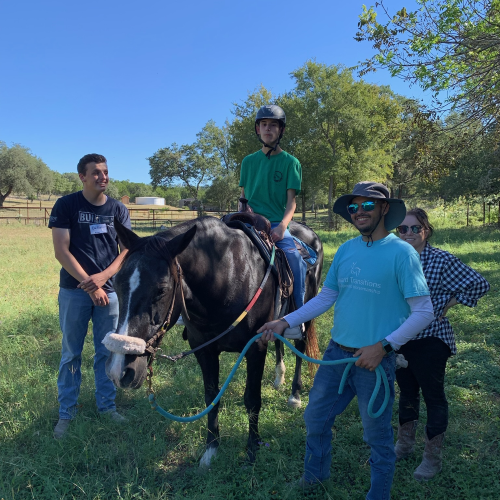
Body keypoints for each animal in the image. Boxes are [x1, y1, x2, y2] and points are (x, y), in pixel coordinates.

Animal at [106, 217, 324, 466]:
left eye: (161, 289)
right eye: (116, 283)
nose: (119, 371)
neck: (226, 275)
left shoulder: (255, 347)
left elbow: (252, 399)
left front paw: (252, 449)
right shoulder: (204, 350)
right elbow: (211, 398)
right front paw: (211, 450)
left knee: (299, 347)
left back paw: (295, 395)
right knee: (279, 343)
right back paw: (279, 377)